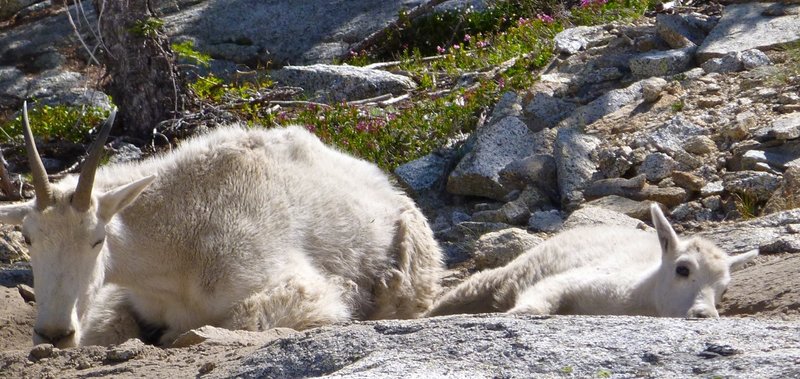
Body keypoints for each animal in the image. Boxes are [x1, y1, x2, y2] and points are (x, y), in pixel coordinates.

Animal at [424, 205, 756, 320]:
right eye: (682, 269)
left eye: (724, 289)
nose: (705, 314)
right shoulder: (579, 280)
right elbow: (540, 299)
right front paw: (520, 312)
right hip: (504, 274)